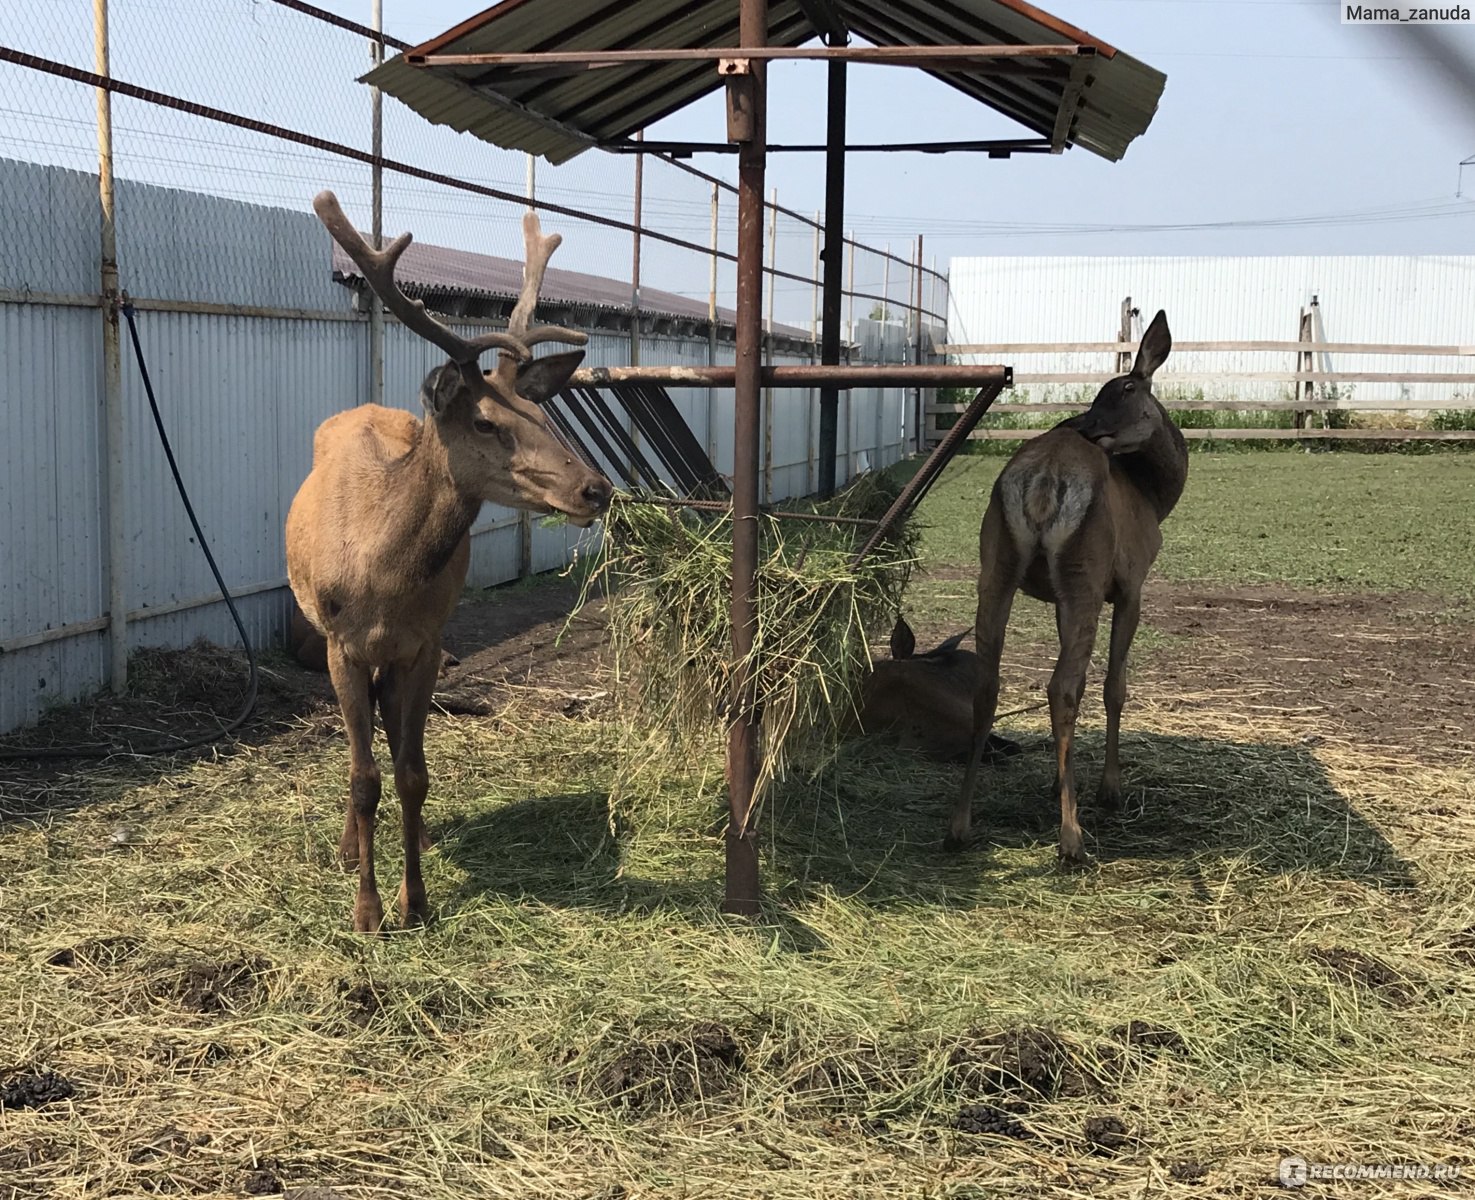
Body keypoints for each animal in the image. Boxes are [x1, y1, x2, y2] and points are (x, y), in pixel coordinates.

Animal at [284, 193, 613, 937]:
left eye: (542, 413)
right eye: (488, 422)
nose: (595, 488)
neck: (380, 578)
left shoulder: (427, 642)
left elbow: (412, 772)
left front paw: (417, 899)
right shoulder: (341, 643)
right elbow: (363, 775)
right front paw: (368, 911)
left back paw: (419, 836)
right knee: (357, 749)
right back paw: (349, 845)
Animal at [944, 312, 1185, 866]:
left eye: (1123, 388)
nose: (1084, 426)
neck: (1156, 497)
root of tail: (1041, 478)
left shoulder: (1055, 598)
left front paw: (1060, 781)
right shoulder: (1132, 582)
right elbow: (1115, 684)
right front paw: (1109, 788)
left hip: (996, 563)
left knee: (989, 682)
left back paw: (959, 824)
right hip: (1083, 570)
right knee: (1062, 686)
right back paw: (1071, 837)